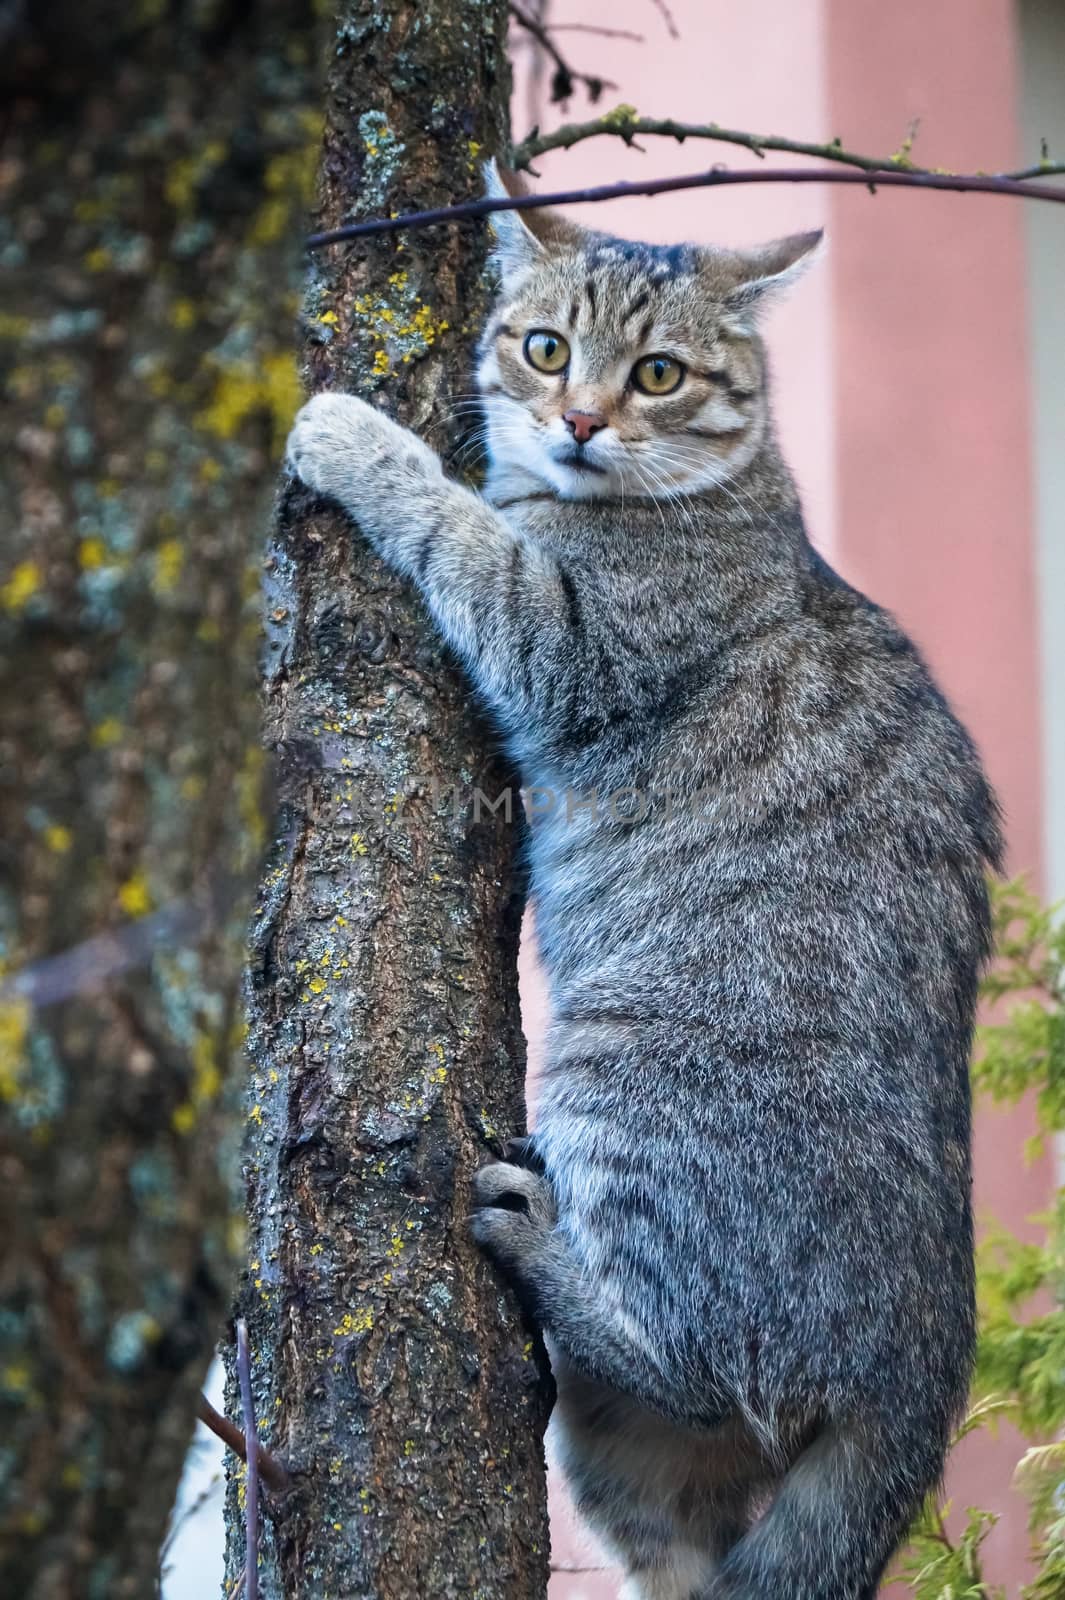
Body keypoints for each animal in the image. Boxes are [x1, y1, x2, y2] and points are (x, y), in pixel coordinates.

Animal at [286, 165, 997, 1600]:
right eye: (546, 345)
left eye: (658, 373)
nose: (579, 422)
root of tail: (923, 1364)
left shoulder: (570, 643)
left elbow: (463, 528)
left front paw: (357, 441)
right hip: (633, 1471)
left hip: (631, 1062)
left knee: (691, 1356)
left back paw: (540, 1240)